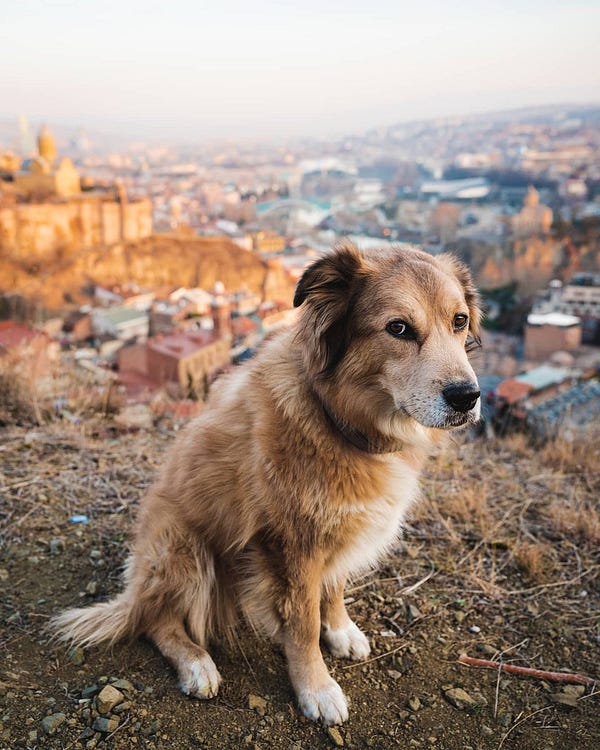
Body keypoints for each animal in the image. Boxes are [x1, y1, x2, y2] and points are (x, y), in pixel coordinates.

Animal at [52, 244, 482, 724]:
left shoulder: (338, 529)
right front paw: (316, 686)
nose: (467, 397)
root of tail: (135, 588)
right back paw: (197, 663)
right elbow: (302, 625)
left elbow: (334, 587)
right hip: (183, 545)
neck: (337, 418)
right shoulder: (291, 547)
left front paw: (340, 629)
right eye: (399, 328)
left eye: (459, 321)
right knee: (156, 621)